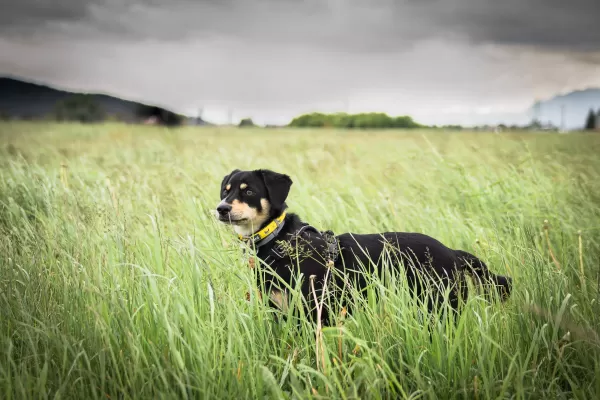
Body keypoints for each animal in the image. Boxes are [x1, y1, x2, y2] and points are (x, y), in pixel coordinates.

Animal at [216, 168, 510, 324]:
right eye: (226, 191)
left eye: (249, 191)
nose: (221, 208)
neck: (280, 240)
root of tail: (454, 253)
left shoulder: (314, 313)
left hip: (440, 308)